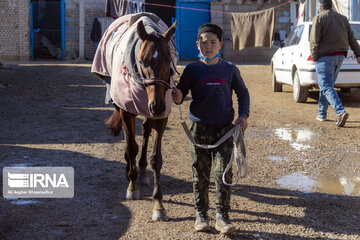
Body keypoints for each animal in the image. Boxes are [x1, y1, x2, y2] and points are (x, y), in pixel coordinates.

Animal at [91, 13, 177, 221]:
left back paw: (143, 171)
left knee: (145, 130)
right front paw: (132, 186)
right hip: (121, 103)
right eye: (143, 60)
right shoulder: (127, 110)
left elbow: (156, 158)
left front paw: (158, 204)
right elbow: (131, 147)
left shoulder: (161, 116)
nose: (157, 105)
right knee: (128, 137)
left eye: (169, 58)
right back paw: (130, 170)